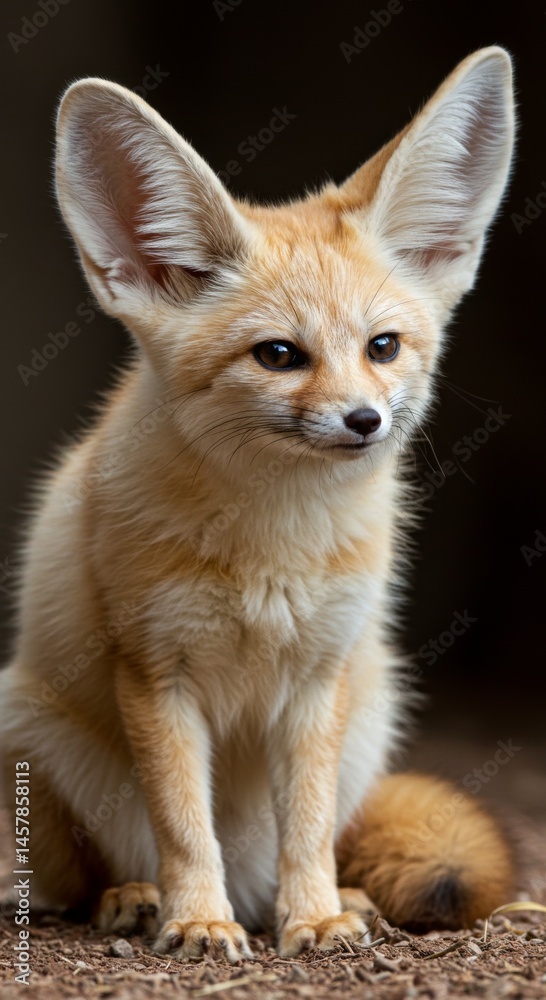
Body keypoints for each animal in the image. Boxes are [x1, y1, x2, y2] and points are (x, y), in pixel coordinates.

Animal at [0, 47, 516, 962]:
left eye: (382, 347)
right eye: (278, 356)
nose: (364, 421)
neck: (275, 548)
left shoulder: (318, 676)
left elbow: (306, 825)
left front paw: (313, 918)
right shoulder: (154, 674)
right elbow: (183, 823)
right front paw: (200, 921)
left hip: (374, 703)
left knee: (309, 844)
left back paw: (328, 900)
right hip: (29, 729)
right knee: (79, 883)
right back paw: (140, 900)